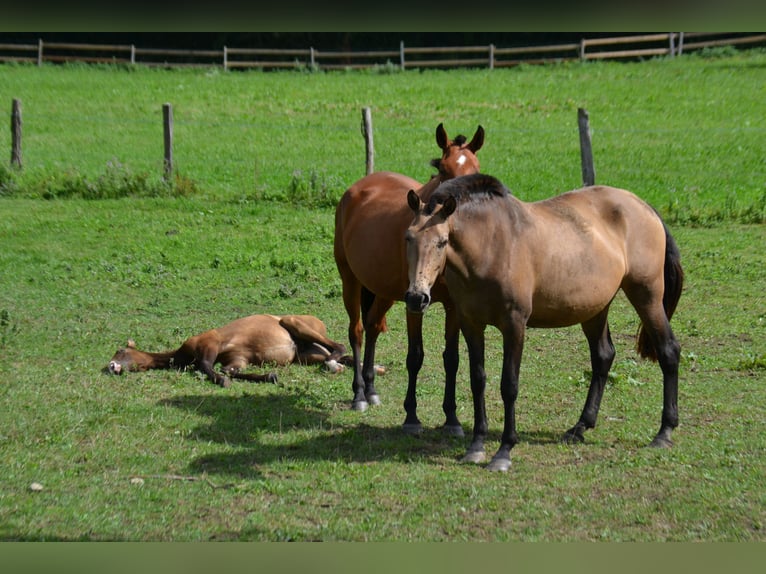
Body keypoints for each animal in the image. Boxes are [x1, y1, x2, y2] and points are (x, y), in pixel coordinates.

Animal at [104, 312, 354, 390]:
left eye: (120, 350)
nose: (111, 366)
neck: (184, 353)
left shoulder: (210, 342)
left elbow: (206, 366)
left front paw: (221, 381)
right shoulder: (238, 358)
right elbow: (231, 370)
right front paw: (270, 376)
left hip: (294, 322)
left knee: (340, 346)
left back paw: (332, 364)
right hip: (308, 354)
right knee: (346, 356)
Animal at [332, 122, 484, 436]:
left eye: (476, 170)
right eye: (443, 169)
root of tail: (359, 187)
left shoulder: (453, 307)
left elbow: (451, 359)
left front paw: (452, 419)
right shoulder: (414, 305)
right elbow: (415, 356)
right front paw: (412, 417)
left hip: (384, 292)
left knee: (373, 326)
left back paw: (372, 390)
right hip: (350, 281)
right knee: (357, 331)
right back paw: (359, 395)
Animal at [404, 176, 688, 472]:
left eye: (442, 242)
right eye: (408, 237)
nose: (416, 297)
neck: (491, 246)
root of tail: (644, 207)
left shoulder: (514, 325)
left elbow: (509, 385)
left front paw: (504, 451)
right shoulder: (471, 324)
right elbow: (477, 381)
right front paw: (476, 446)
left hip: (647, 296)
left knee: (669, 351)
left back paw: (664, 432)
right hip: (595, 309)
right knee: (603, 356)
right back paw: (580, 427)